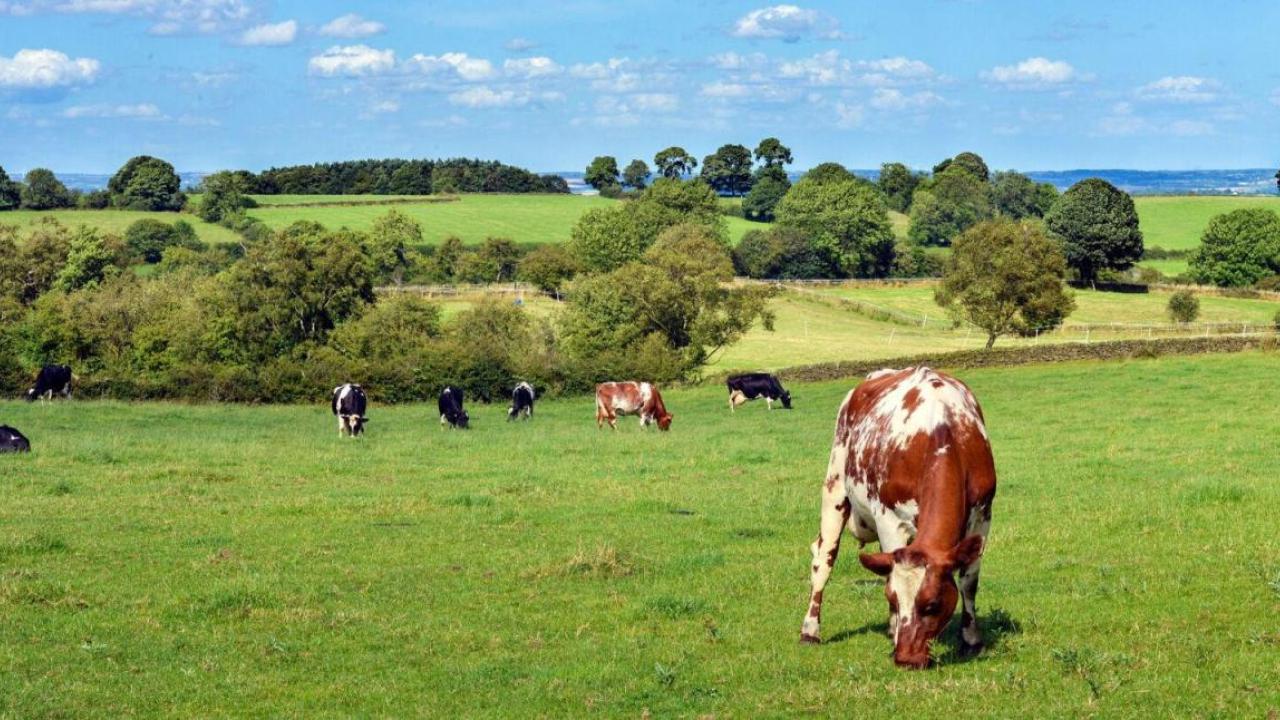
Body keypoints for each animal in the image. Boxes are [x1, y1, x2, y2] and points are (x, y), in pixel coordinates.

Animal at [799, 366, 996, 670]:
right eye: (892, 599)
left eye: (932, 605)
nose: (906, 659)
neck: (942, 431)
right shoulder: (889, 519)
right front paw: (894, 629)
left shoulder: (983, 516)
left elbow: (969, 582)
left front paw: (972, 640)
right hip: (834, 487)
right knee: (823, 559)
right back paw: (810, 630)